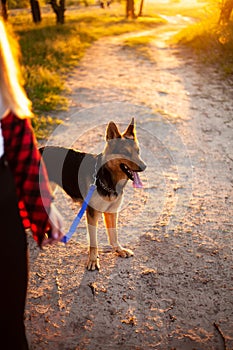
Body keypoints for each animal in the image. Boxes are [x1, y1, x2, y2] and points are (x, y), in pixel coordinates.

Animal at [39, 118, 146, 270]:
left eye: (138, 151)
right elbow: (94, 242)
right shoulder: (92, 214)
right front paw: (93, 260)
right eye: (125, 152)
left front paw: (119, 250)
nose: (144, 167)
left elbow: (114, 235)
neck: (105, 177)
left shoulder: (112, 212)